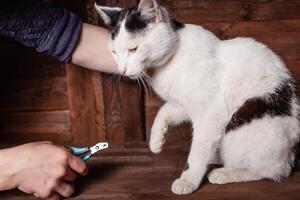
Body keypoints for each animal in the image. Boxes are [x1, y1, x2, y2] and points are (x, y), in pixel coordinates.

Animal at [95, 0, 300, 195]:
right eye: (114, 52)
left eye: (134, 49)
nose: (122, 70)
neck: (170, 61)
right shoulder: (183, 104)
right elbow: (163, 112)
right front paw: (156, 140)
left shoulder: (210, 113)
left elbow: (198, 152)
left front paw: (188, 179)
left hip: (247, 129)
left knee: (275, 171)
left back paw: (226, 172)